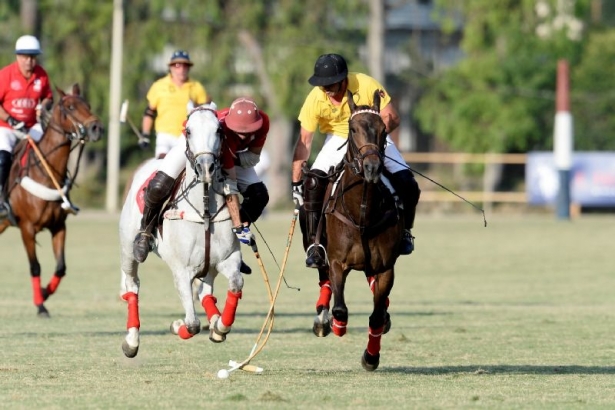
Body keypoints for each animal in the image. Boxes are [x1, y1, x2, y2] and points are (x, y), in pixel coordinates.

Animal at [0, 84, 103, 318]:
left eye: (88, 104)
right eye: (70, 107)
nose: (96, 128)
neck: (45, 173)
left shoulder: (59, 226)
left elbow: (61, 267)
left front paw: (45, 292)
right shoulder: (27, 229)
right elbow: (35, 266)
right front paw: (40, 305)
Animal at [119, 105, 244, 358]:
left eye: (219, 130)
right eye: (188, 131)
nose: (206, 168)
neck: (205, 211)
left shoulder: (228, 259)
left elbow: (236, 284)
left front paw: (219, 326)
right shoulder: (181, 271)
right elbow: (192, 324)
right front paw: (178, 325)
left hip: (209, 267)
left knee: (206, 291)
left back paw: (214, 321)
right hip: (128, 249)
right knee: (132, 285)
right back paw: (132, 341)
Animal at [312, 90, 404, 372]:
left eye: (384, 130)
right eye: (353, 129)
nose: (372, 169)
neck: (362, 212)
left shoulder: (385, 267)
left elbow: (376, 317)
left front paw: (371, 357)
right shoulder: (338, 261)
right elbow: (340, 307)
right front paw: (337, 325)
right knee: (324, 277)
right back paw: (323, 318)